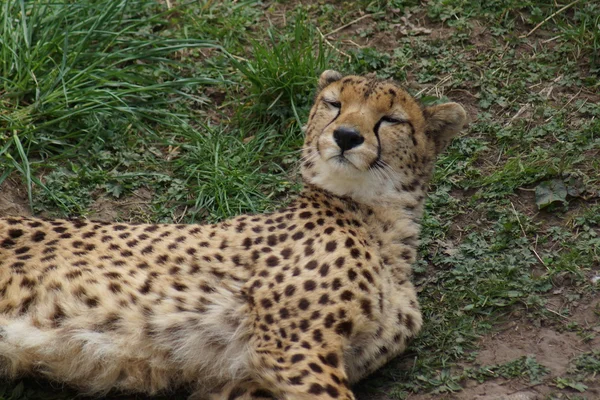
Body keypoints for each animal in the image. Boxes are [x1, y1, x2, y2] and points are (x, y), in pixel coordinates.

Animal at [0, 70, 466, 398]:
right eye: (334, 105)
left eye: (390, 119)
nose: (346, 136)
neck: (379, 222)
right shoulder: (293, 347)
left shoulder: (249, 378)